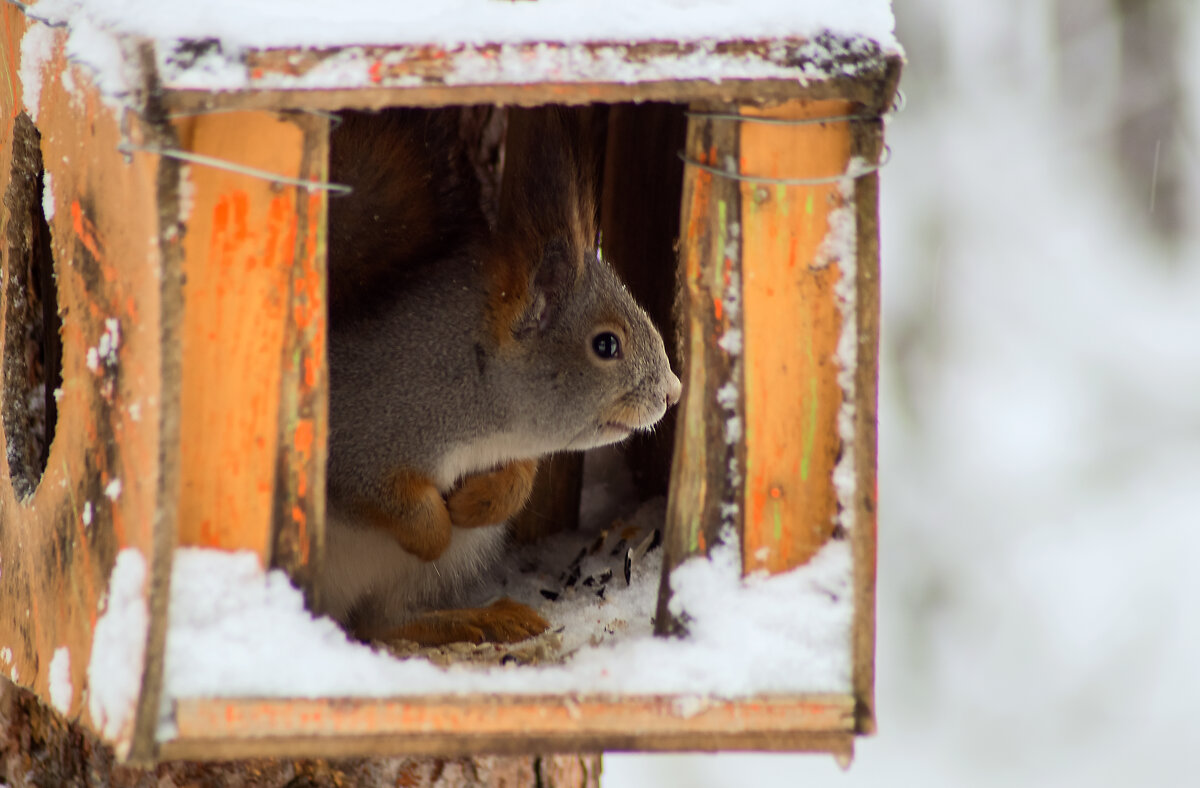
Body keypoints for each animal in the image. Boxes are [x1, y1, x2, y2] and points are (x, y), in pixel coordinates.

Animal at [314, 104, 681, 647]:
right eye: (606, 345)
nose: (672, 392)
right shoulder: (355, 442)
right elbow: (381, 496)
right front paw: (437, 528)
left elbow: (517, 478)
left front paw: (474, 504)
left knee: (384, 622)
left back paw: (483, 618)